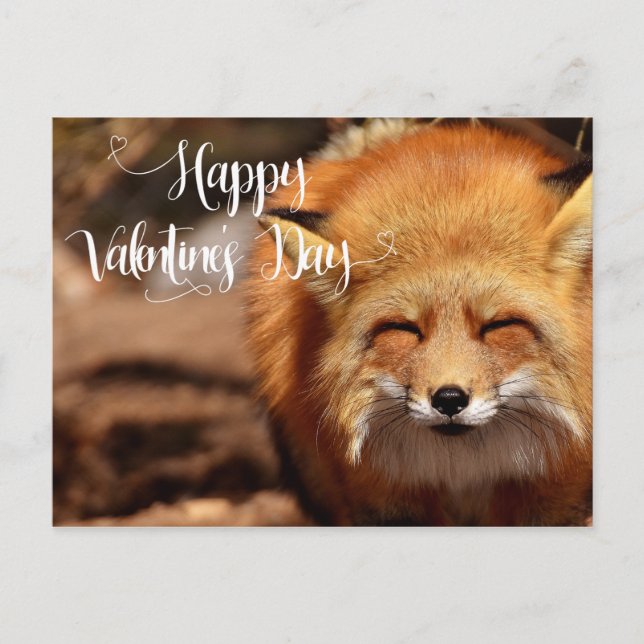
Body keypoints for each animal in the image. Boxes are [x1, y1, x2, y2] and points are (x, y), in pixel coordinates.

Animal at [245, 119, 592, 526]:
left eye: (497, 326)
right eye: (405, 329)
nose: (449, 400)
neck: (466, 468)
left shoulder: (556, 492)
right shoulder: (381, 495)